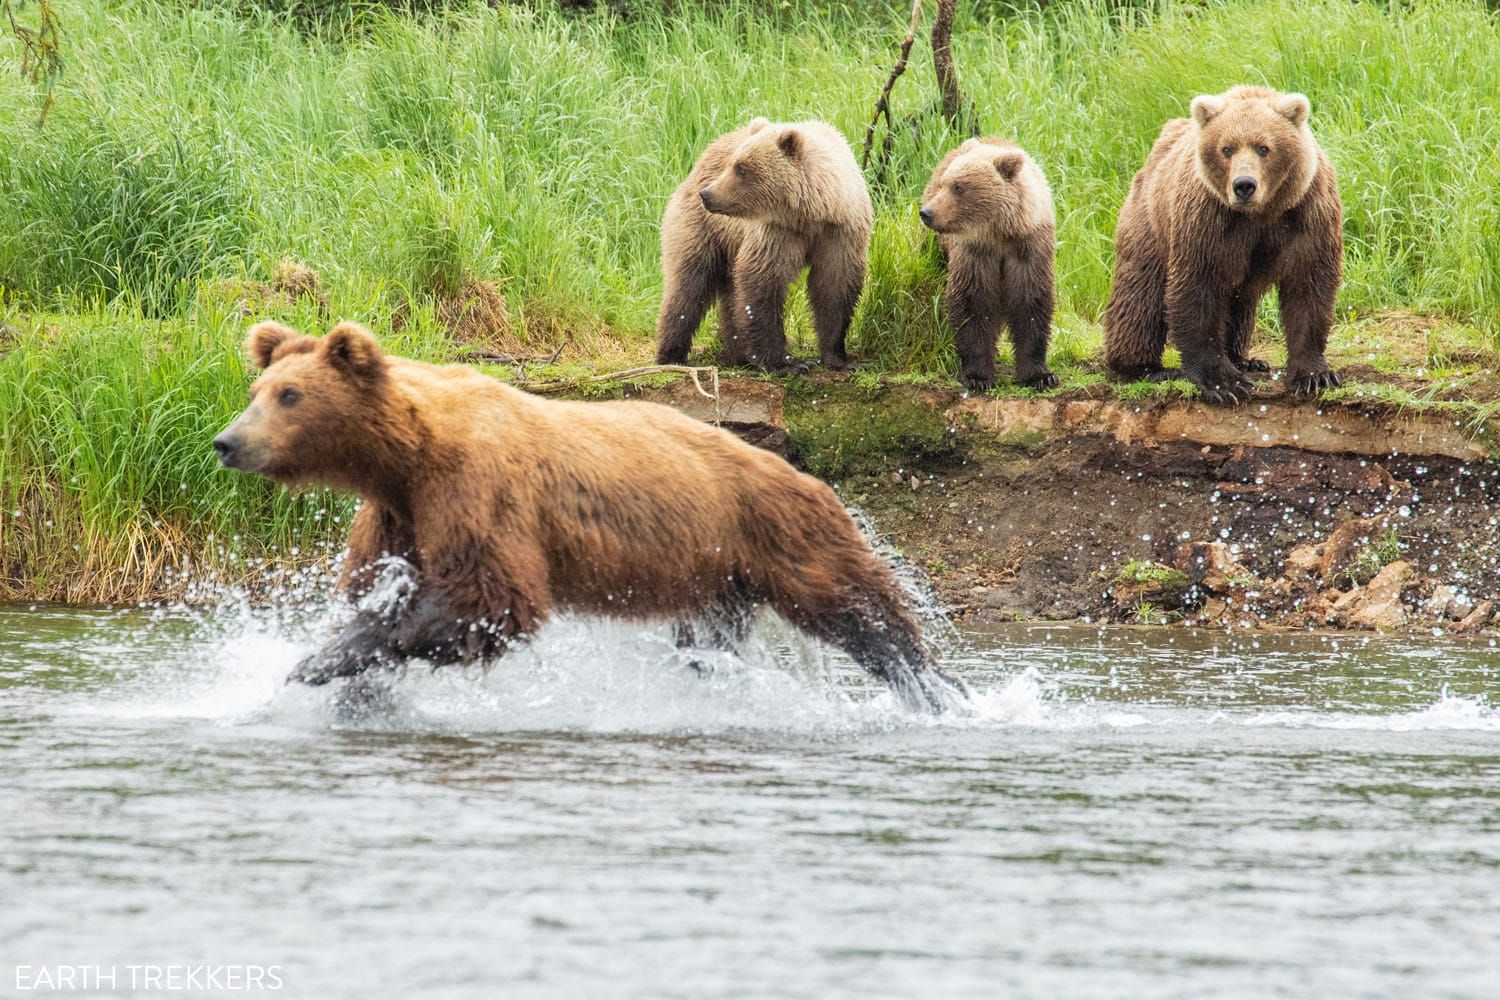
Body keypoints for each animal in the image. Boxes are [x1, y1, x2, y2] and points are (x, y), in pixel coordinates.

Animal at [211, 320, 960, 710]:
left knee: (864, 612)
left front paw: (318, 660)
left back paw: (938, 688)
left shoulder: (477, 489)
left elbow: (490, 598)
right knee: (710, 640)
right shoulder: (398, 513)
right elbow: (374, 585)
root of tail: (804, 471)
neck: (407, 453)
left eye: (290, 396)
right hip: (717, 576)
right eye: (257, 389)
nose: (226, 442)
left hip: (782, 530)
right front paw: (349, 673)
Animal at [912, 137, 1056, 389]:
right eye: (944, 184)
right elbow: (973, 302)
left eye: (959, 187)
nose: (927, 213)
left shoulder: (1029, 249)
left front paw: (1040, 376)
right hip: (936, 249)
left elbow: (1031, 302)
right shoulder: (974, 254)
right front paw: (978, 376)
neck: (999, 233)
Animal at [1104, 83, 1350, 401]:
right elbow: (1198, 288)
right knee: (1140, 293)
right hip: (1151, 221)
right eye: (1226, 148)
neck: (1261, 213)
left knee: (1239, 301)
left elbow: (1308, 286)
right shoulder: (1207, 218)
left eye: (1263, 147)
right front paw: (1224, 383)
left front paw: (1314, 375)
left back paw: (1245, 358)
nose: (1244, 185)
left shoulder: (1306, 212)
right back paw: (1144, 367)